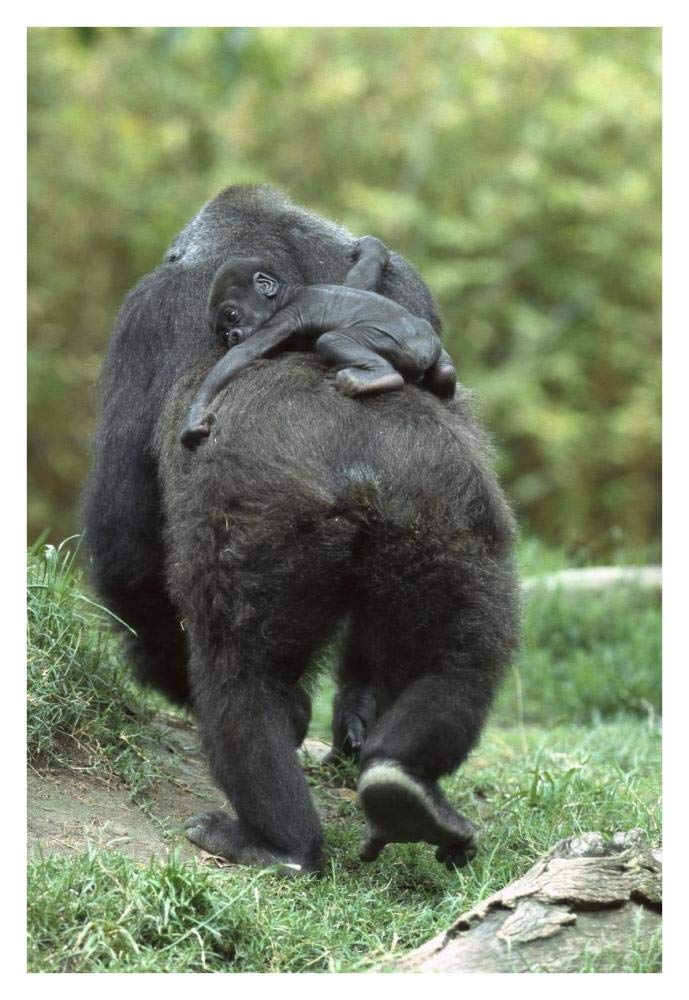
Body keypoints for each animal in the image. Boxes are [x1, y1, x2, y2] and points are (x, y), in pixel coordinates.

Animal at [180, 235, 456, 447]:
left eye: (232, 315)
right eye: (223, 334)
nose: (232, 336)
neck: (286, 295)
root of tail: (424, 348)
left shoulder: (282, 319)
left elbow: (244, 353)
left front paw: (194, 415)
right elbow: (360, 279)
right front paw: (372, 250)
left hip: (402, 344)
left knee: (330, 340)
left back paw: (378, 376)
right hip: (436, 349)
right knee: (444, 372)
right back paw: (443, 382)